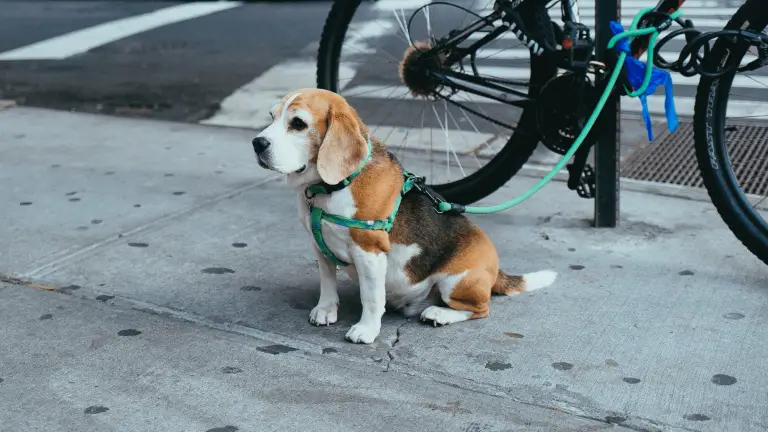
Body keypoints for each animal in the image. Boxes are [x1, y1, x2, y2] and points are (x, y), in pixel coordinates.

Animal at [252, 88, 560, 344]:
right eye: (271, 116)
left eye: (298, 124)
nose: (257, 143)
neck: (330, 187)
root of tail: (496, 270)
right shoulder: (320, 246)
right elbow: (327, 282)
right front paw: (326, 310)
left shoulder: (369, 251)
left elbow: (371, 297)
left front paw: (366, 330)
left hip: (456, 282)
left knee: (480, 309)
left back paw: (440, 314)